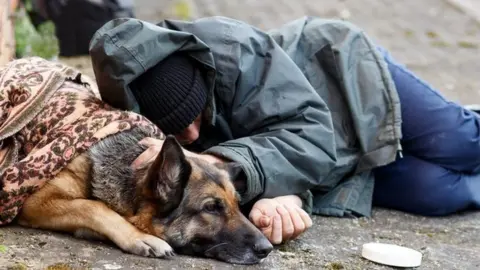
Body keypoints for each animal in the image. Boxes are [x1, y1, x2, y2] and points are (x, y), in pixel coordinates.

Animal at [15, 125, 274, 264]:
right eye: (211, 208)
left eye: (238, 205)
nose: (267, 249)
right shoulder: (35, 202)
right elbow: (91, 206)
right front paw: (140, 237)